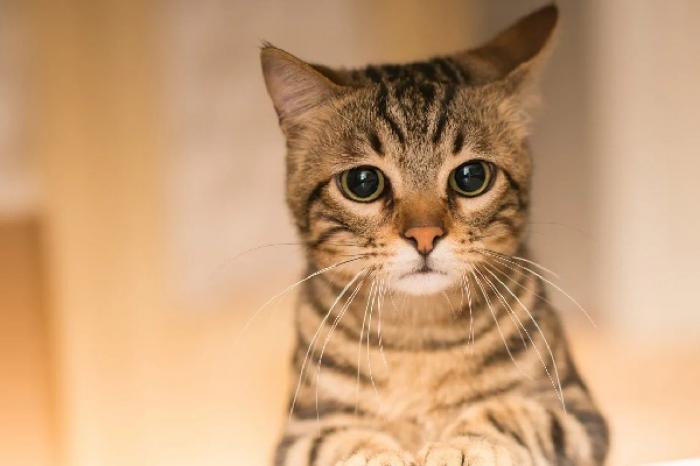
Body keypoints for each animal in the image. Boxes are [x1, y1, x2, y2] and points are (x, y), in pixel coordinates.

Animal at [262, 4, 608, 466]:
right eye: (362, 183)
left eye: (471, 176)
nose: (424, 235)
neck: (418, 339)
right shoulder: (301, 431)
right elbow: (341, 439)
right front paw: (378, 454)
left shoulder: (577, 414)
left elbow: (512, 412)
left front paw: (459, 445)